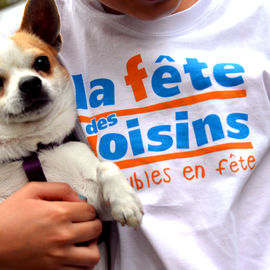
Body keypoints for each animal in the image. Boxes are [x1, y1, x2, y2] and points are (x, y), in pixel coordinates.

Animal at [0, 0, 143, 234]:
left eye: (42, 62)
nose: (30, 83)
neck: (32, 151)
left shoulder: (91, 205)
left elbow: (106, 167)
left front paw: (126, 203)